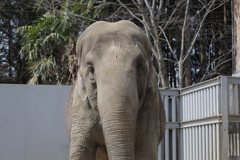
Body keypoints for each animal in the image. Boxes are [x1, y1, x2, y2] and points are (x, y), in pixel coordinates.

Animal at [65, 20, 167, 160]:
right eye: (91, 69)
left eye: (140, 66)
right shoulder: (80, 110)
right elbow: (80, 153)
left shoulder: (151, 107)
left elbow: (146, 153)